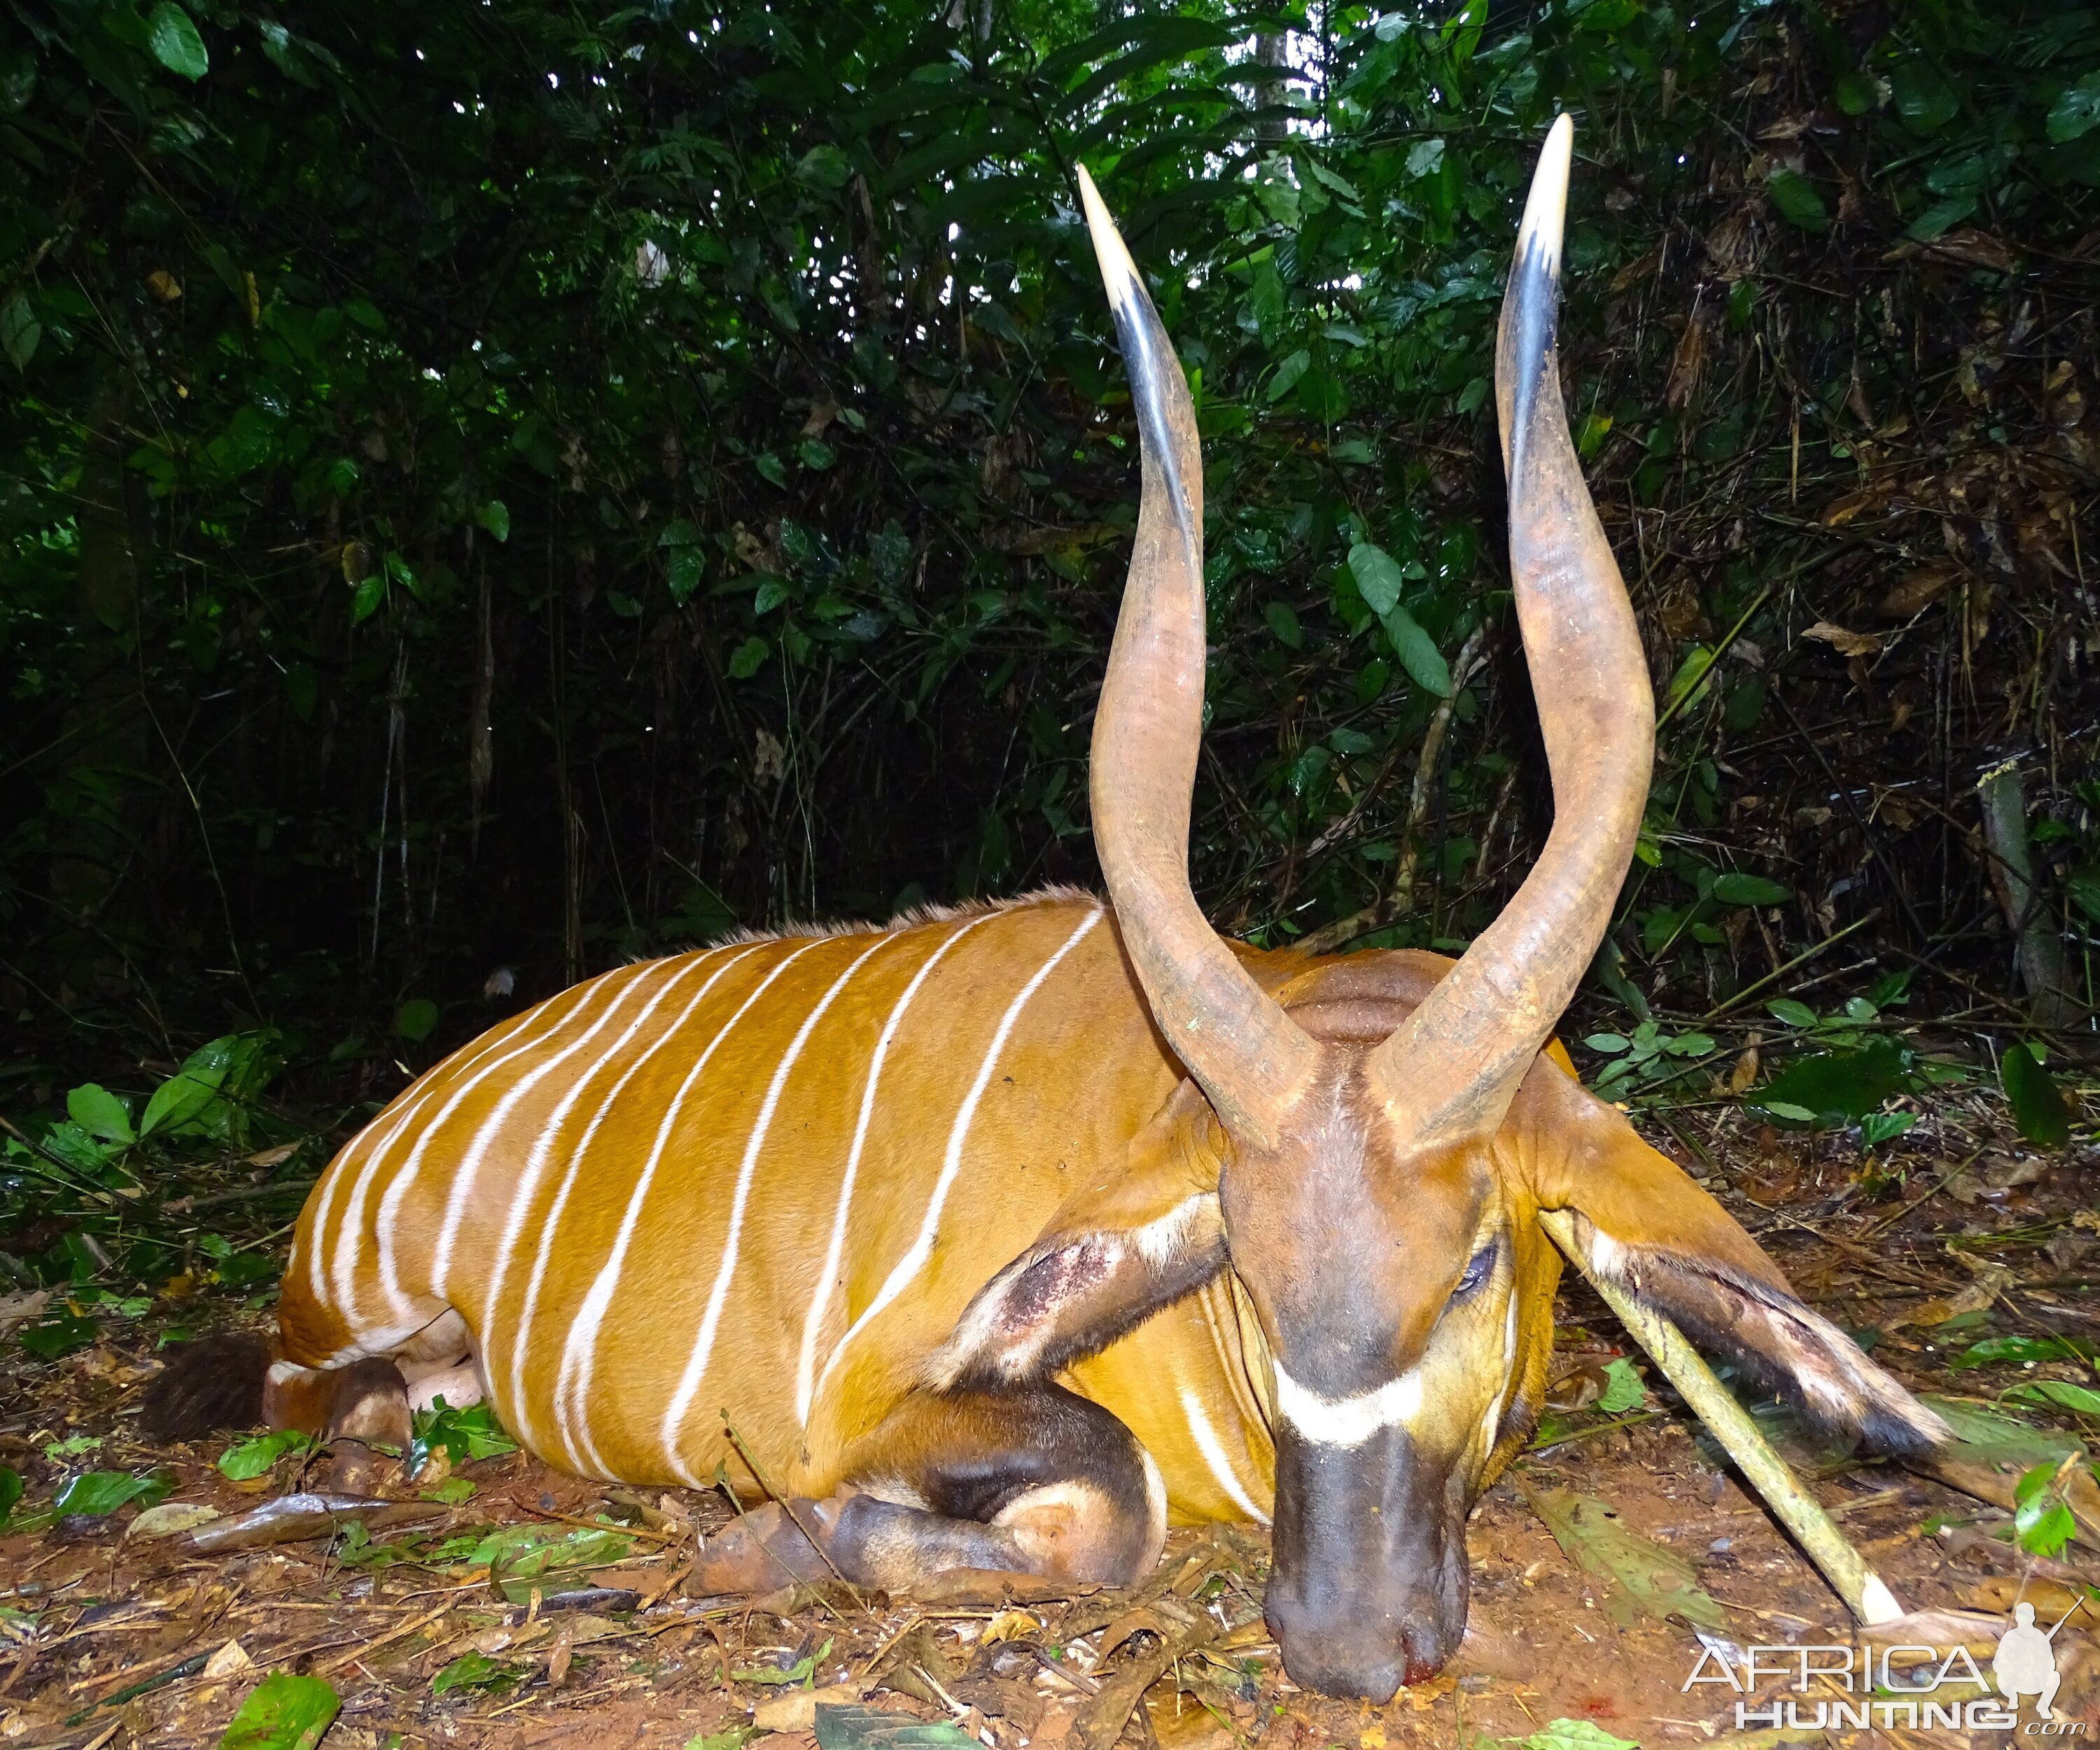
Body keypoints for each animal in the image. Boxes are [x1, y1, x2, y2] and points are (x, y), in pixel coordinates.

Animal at [155, 120, 1940, 1697]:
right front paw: (758, 1542)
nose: (1345, 1642)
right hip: (351, 1310)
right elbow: (1105, 1497)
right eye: (1242, 1264)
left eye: (1476, 1268)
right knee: (309, 1390)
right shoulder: (894, 1391)